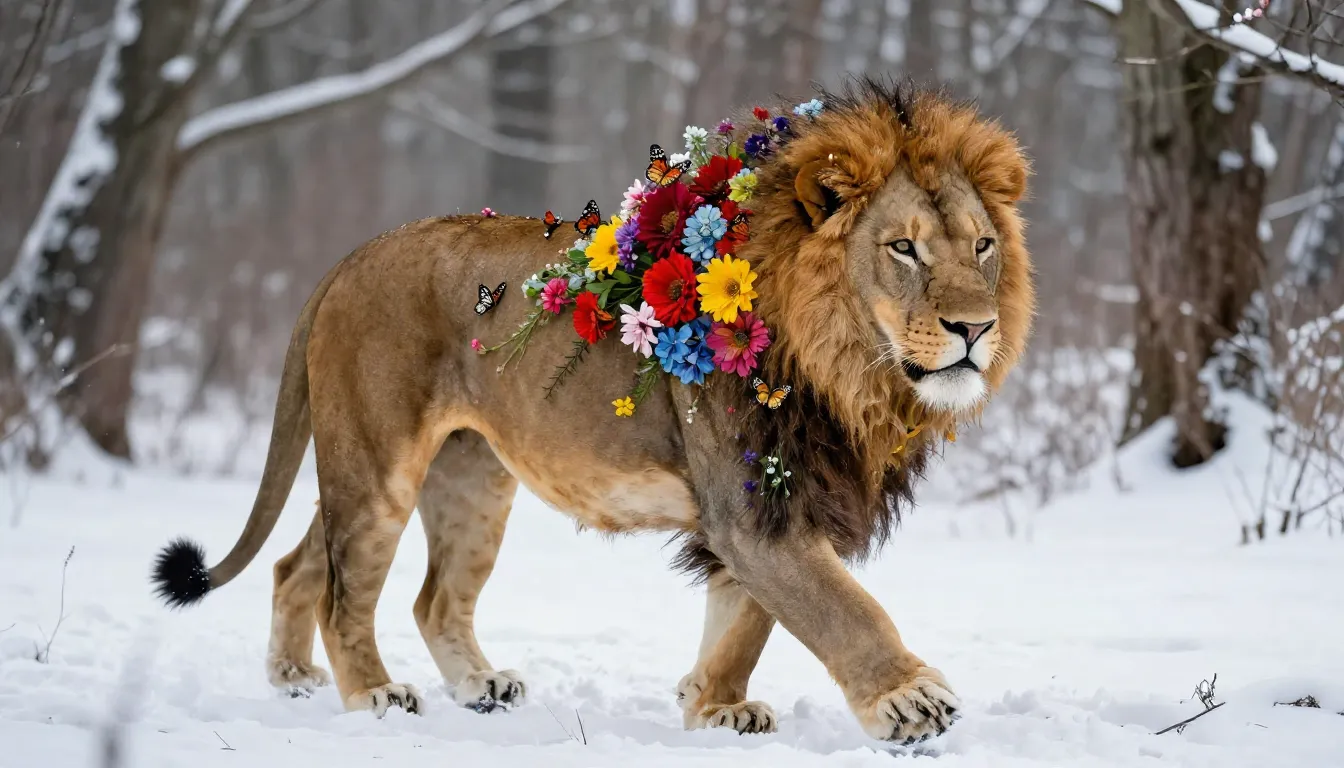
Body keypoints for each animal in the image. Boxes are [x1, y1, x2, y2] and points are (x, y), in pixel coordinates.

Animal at [150, 78, 1034, 743]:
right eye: (903, 249)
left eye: (982, 246)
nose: (975, 328)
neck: (849, 371)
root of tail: (348, 258)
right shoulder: (751, 509)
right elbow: (841, 607)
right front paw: (909, 701)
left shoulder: (781, 498)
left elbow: (747, 620)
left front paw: (712, 705)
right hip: (376, 463)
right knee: (345, 590)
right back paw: (372, 694)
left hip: (467, 478)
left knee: (365, 580)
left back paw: (384, 681)